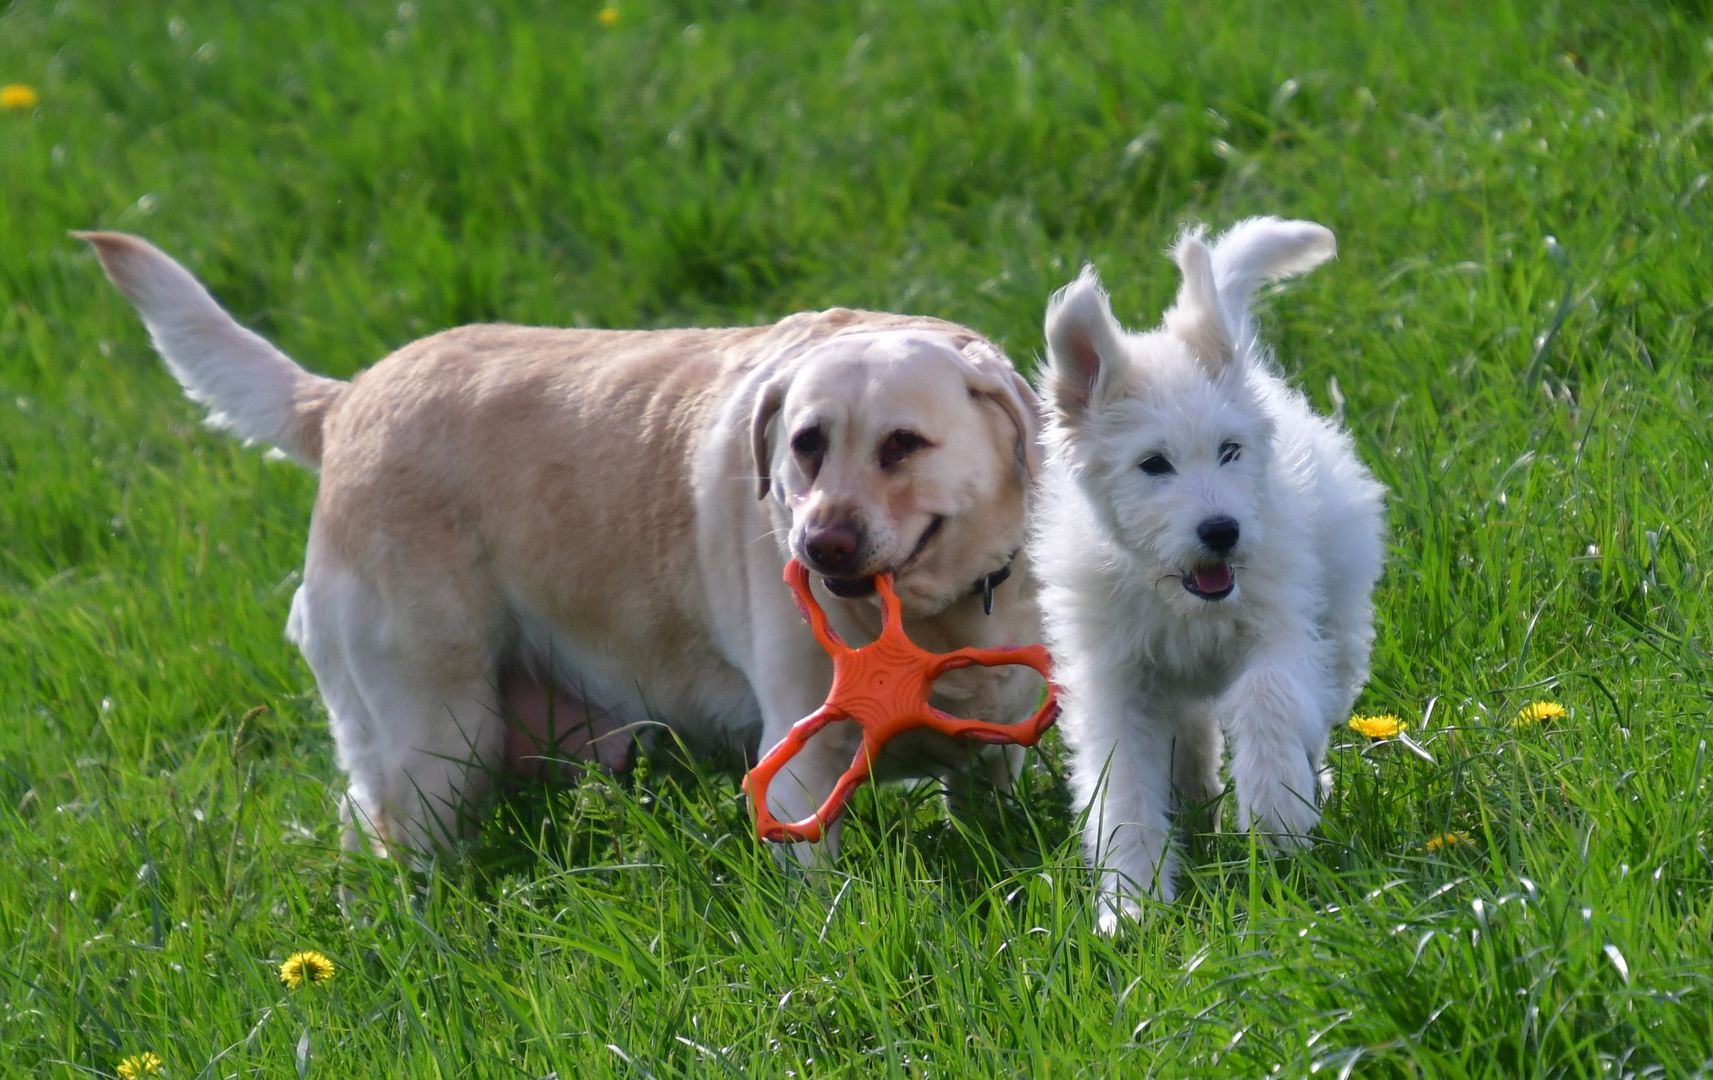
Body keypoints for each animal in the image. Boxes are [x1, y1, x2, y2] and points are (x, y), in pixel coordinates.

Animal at [1020, 217, 1384, 932]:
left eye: (1229, 451)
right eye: (1153, 464)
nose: (1222, 531)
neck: (1183, 602)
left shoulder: (1281, 629)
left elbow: (1266, 697)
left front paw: (1277, 814)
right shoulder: (1115, 684)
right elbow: (1123, 789)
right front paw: (1130, 903)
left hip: (1338, 618)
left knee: (1316, 703)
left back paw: (1303, 785)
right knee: (1189, 739)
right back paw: (1197, 808)